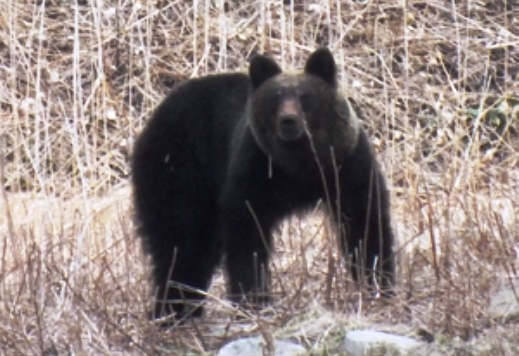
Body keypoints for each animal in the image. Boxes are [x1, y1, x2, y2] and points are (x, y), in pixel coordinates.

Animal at [132, 48, 396, 322]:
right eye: (275, 97)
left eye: (305, 96)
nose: (288, 121)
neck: (300, 165)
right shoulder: (255, 171)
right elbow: (247, 235)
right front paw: (253, 298)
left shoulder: (345, 167)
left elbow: (365, 223)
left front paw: (379, 285)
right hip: (179, 168)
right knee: (181, 238)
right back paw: (172, 310)